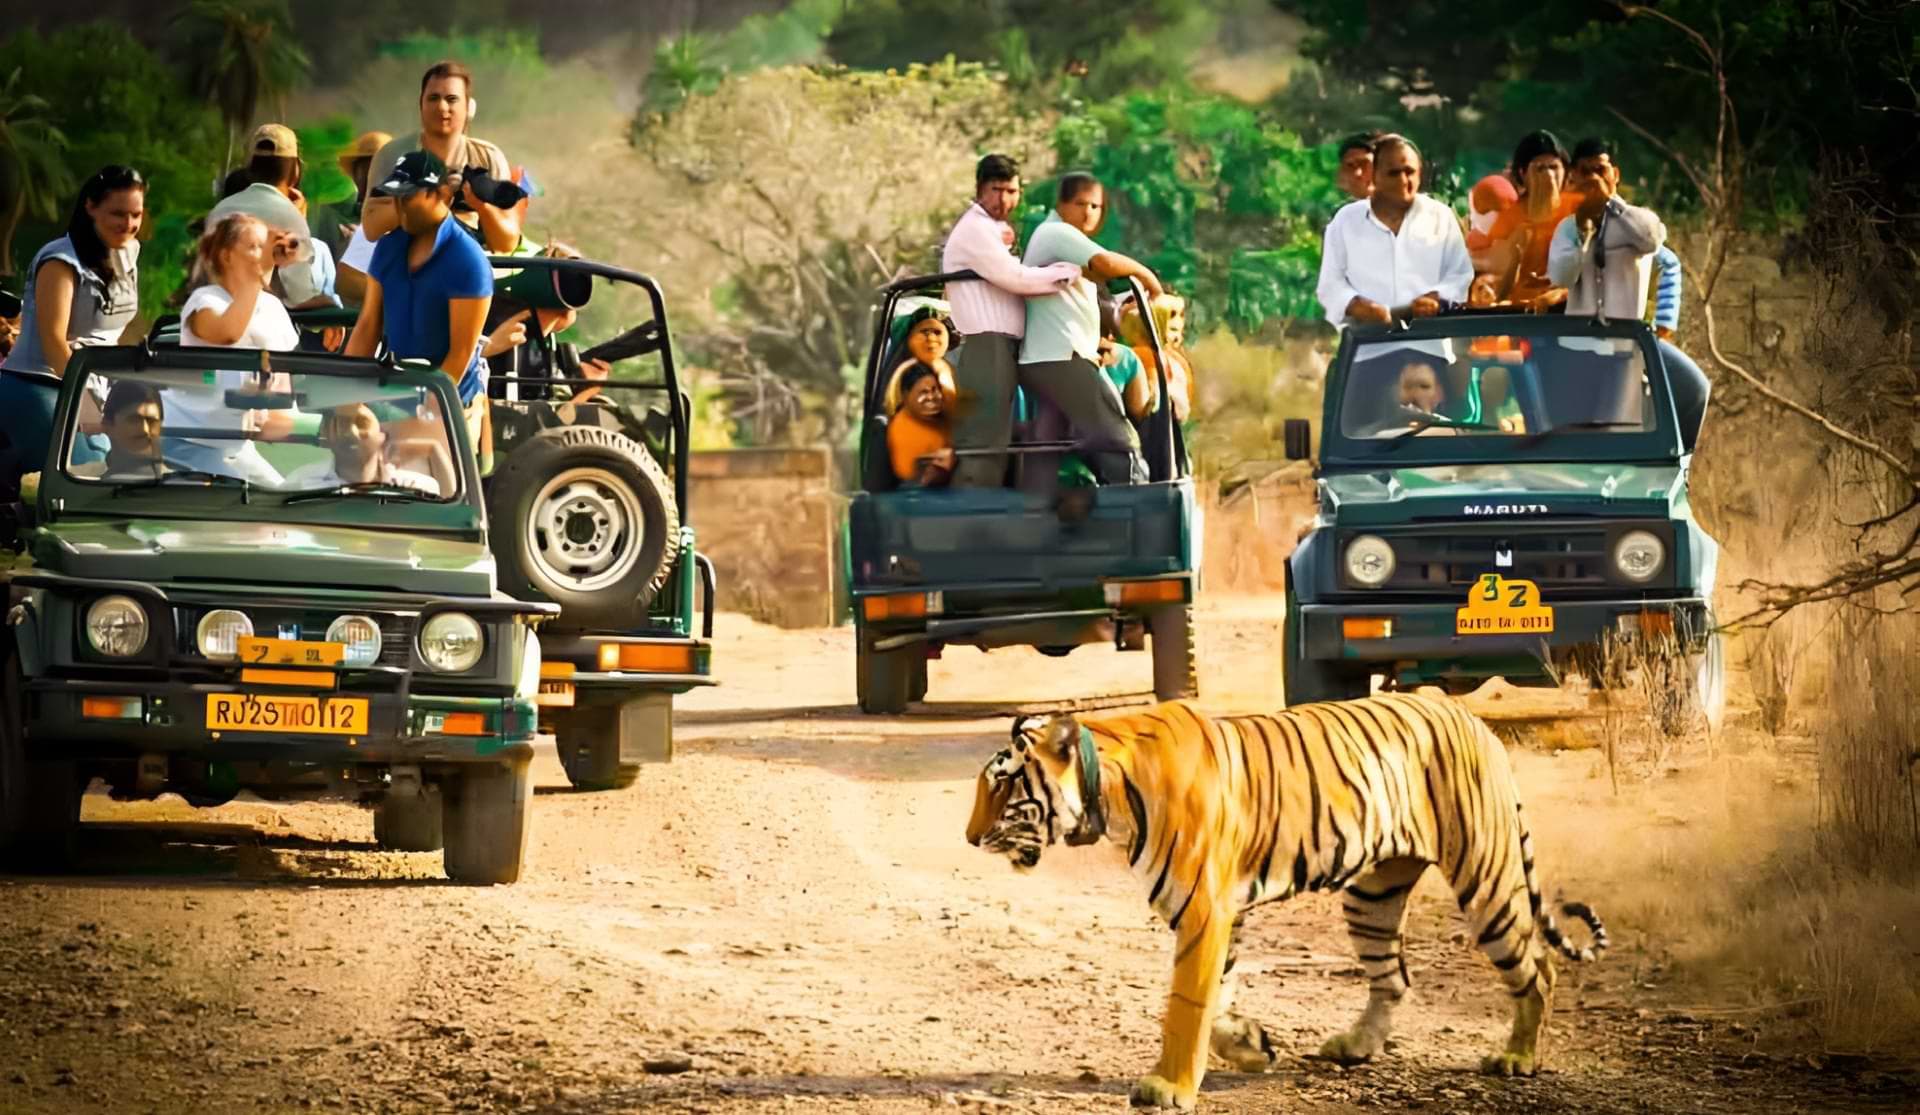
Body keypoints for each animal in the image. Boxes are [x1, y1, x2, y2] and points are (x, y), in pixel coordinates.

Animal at [965, 693, 1607, 1111]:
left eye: (1003, 784)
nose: (969, 839)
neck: (1108, 794)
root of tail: (1469, 715)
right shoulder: (1219, 913)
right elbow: (1216, 1000)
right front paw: (1251, 1047)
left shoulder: (1205, 908)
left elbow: (1186, 1005)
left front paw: (1168, 1087)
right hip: (1373, 894)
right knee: (1393, 978)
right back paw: (1355, 1046)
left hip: (1486, 877)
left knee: (1537, 969)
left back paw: (1518, 1058)